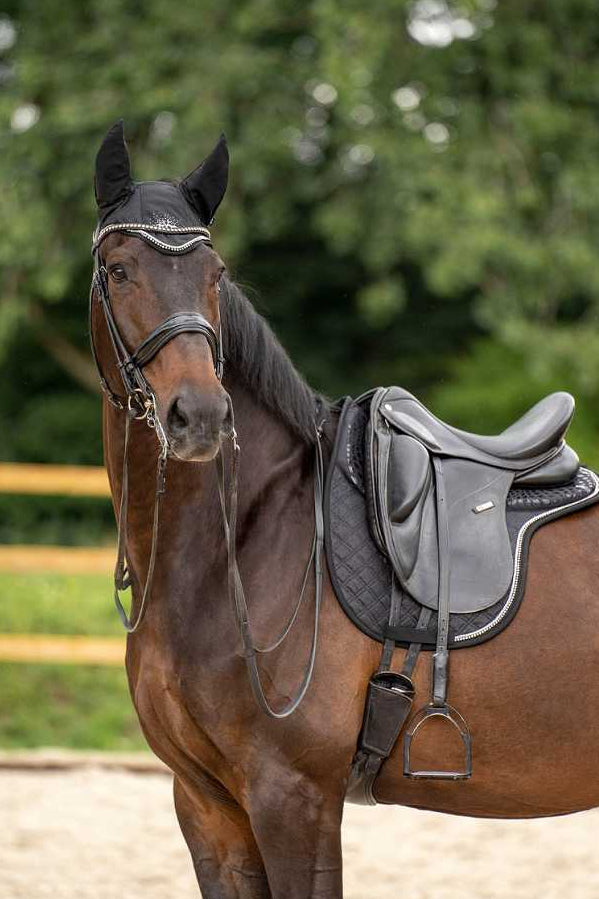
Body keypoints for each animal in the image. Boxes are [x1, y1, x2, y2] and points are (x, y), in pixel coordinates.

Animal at [90, 122, 599, 898]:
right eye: (118, 270)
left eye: (215, 274)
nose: (199, 415)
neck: (243, 543)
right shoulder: (206, 806)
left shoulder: (292, 798)